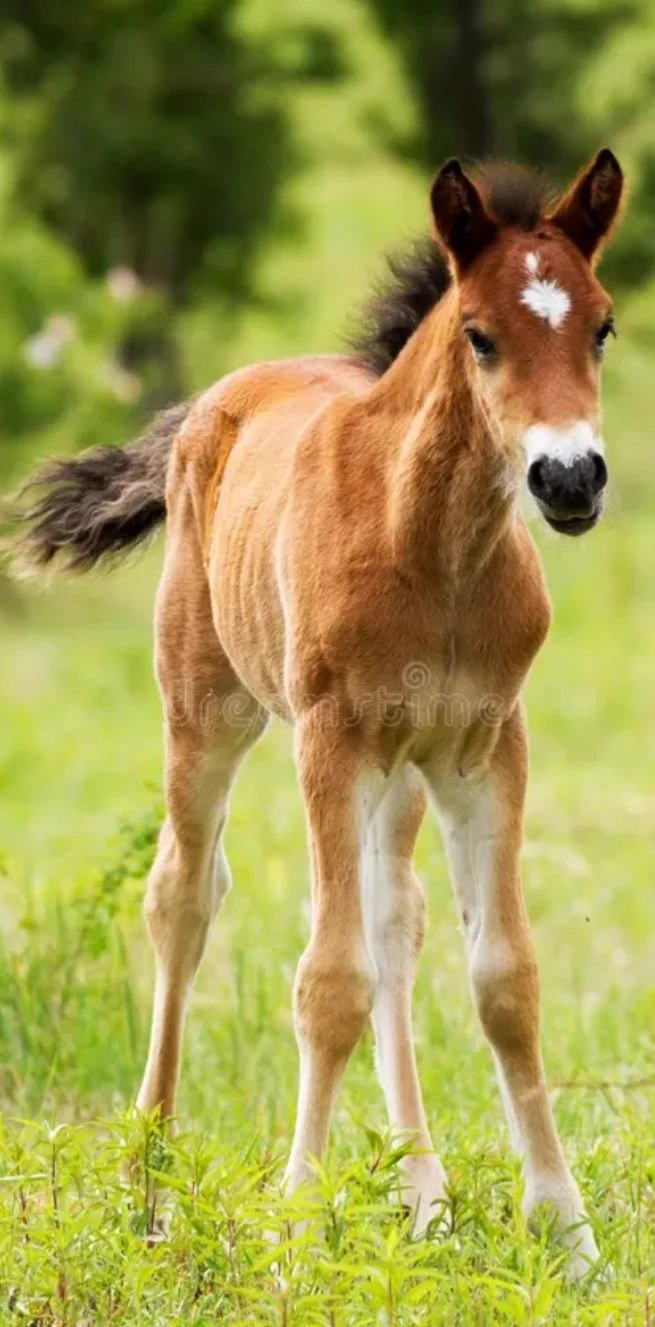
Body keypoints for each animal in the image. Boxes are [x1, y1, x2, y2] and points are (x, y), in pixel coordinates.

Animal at [3, 148, 624, 1277]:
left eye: (599, 325)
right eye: (480, 334)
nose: (568, 478)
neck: (433, 551)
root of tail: (217, 398)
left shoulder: (485, 748)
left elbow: (503, 978)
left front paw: (569, 1236)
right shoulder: (332, 742)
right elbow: (327, 980)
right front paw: (297, 1226)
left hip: (399, 772)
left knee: (393, 918)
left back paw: (419, 1191)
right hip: (208, 709)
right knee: (184, 895)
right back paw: (148, 1189)